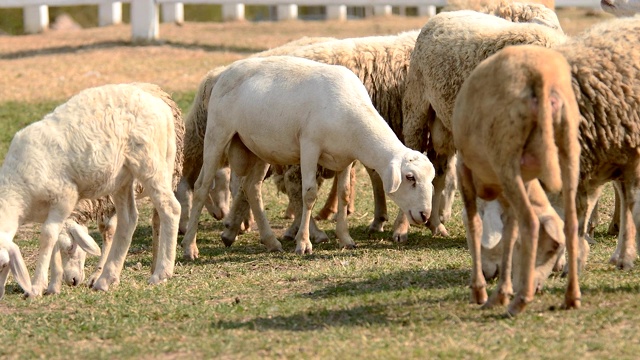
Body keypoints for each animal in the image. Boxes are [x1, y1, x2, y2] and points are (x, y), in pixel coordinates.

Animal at [0, 83, 185, 296]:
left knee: (170, 208)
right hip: (121, 177)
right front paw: (52, 286)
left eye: (2, 264)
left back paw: (160, 273)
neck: (18, 193)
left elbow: (47, 236)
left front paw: (36, 287)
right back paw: (106, 279)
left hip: (150, 161)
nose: (72, 281)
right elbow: (54, 240)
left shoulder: (65, 197)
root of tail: (161, 106)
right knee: (128, 219)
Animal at [182, 54, 438, 255]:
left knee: (252, 188)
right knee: (202, 186)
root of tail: (224, 72)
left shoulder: (345, 158)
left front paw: (345, 238)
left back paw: (271, 241)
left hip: (257, 147)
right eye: (410, 177)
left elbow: (344, 194)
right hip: (217, 133)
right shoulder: (309, 146)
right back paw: (189, 247)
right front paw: (304, 243)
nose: (425, 214)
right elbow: (309, 194)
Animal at [452, 44, 584, 316]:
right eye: (552, 248)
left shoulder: (464, 170)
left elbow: (475, 224)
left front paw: (480, 292)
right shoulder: (514, 185)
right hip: (568, 147)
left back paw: (520, 301)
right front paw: (500, 293)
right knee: (571, 223)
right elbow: (510, 234)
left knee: (531, 222)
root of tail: (541, 73)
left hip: (505, 153)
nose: (537, 286)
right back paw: (571, 297)